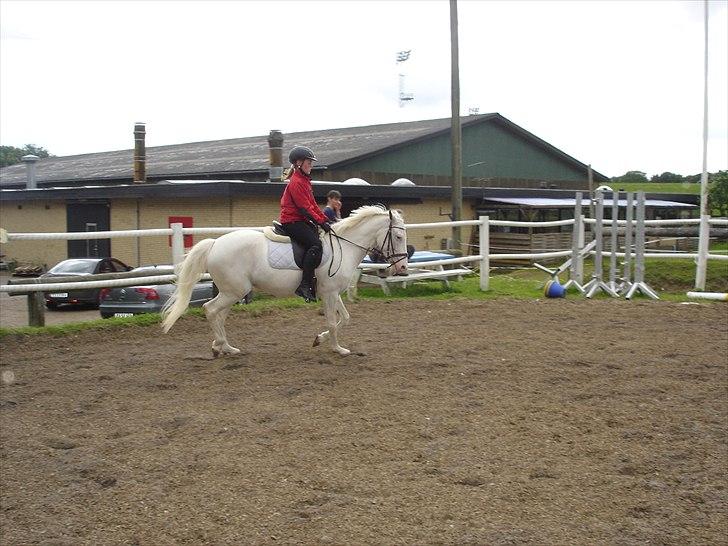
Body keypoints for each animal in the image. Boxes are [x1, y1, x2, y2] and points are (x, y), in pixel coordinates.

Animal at [161, 204, 406, 356]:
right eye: (398, 236)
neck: (344, 247)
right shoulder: (329, 293)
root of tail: (214, 244)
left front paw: (320, 340)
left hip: (232, 291)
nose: (402, 268)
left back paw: (226, 347)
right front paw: (337, 349)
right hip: (234, 291)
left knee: (218, 315)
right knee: (210, 310)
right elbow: (331, 321)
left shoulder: (333, 292)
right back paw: (220, 346)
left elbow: (344, 318)